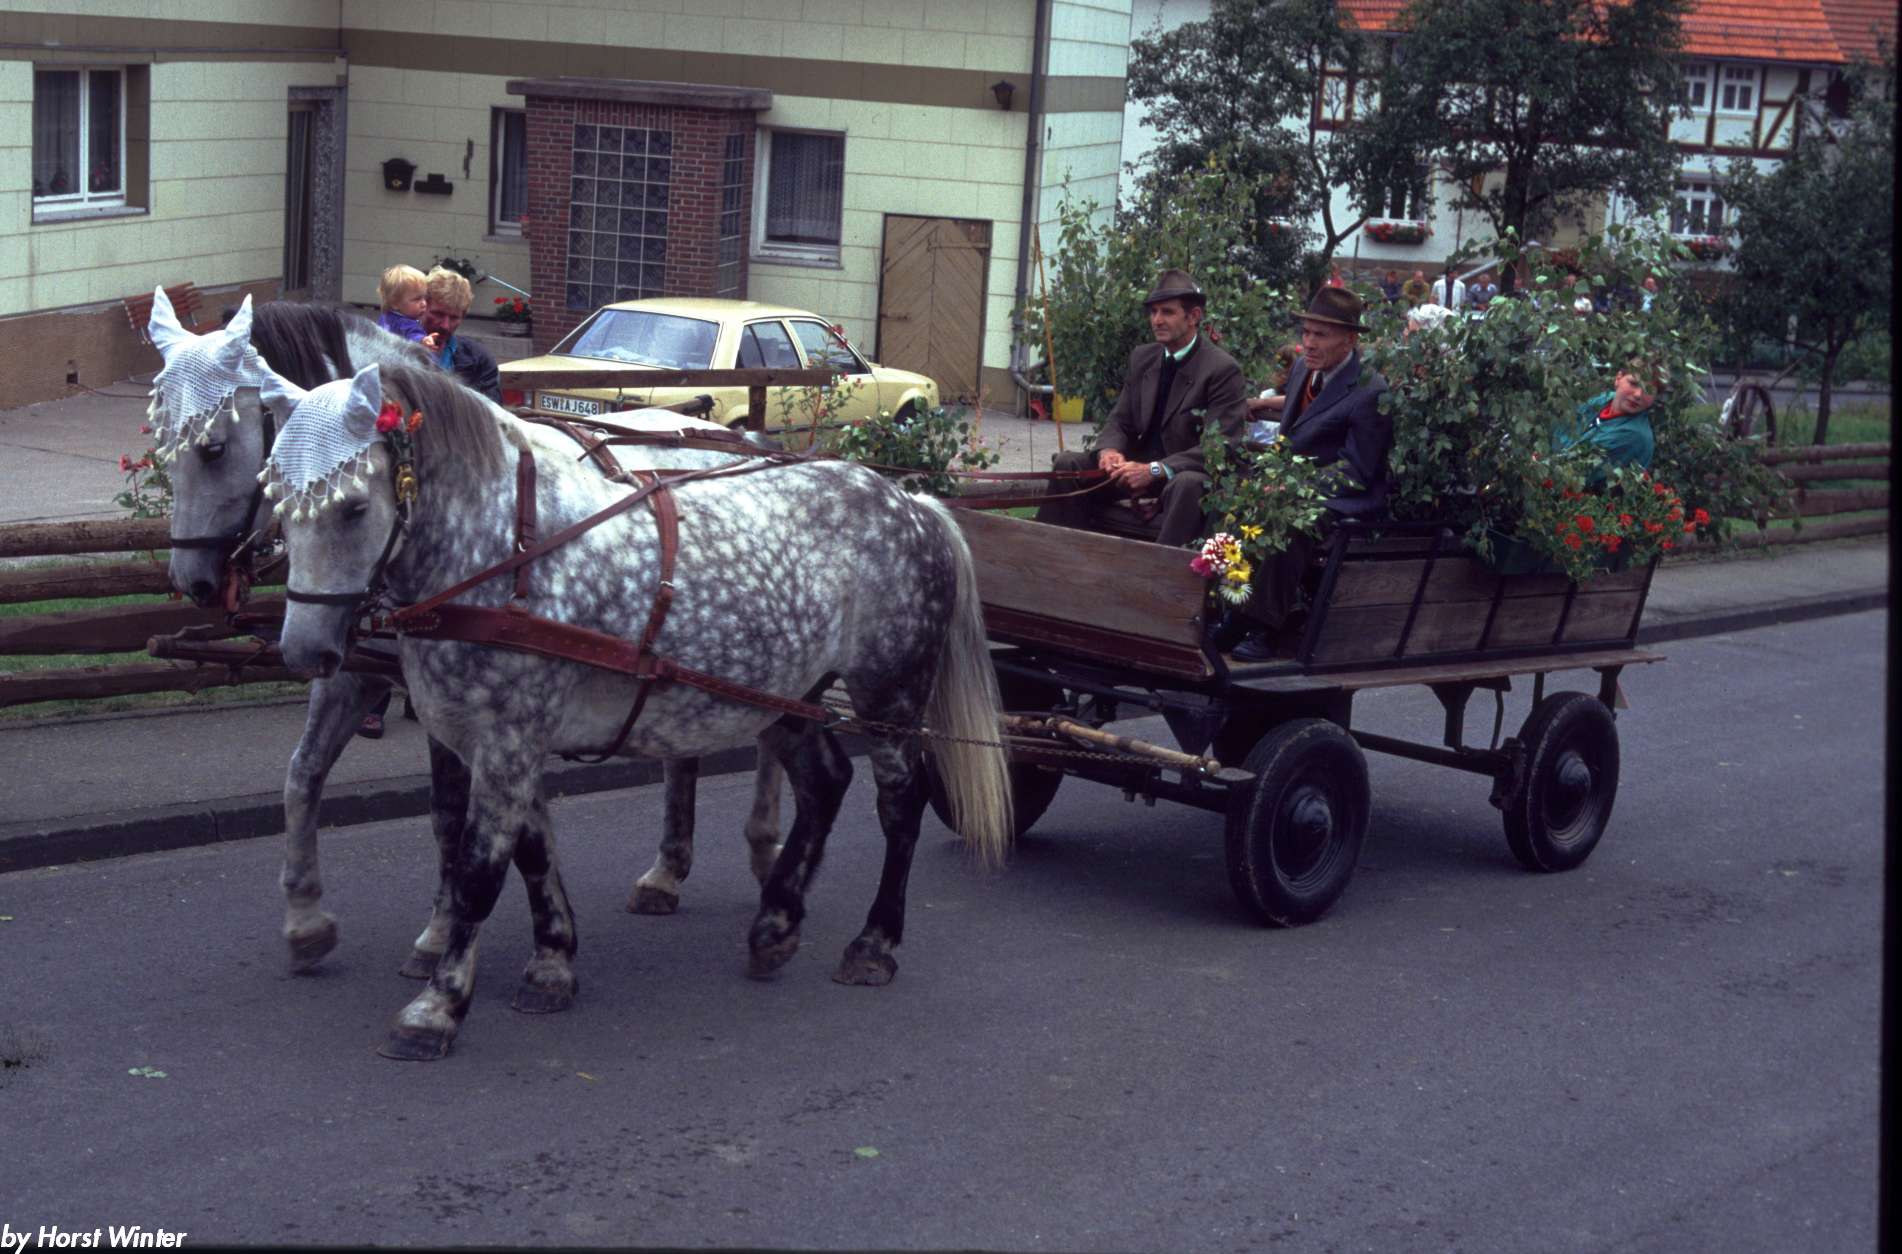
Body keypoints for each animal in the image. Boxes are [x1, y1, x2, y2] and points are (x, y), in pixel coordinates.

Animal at [143, 291, 783, 984]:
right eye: (162, 445)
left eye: (213, 448)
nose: (193, 579)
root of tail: (739, 438)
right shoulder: (357, 671)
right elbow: (302, 776)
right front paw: (306, 921)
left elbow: (449, 814)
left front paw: (441, 933)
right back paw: (668, 871)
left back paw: (764, 851)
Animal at [260, 359, 1011, 1060]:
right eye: (279, 507)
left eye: (354, 508)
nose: (304, 651)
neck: (509, 553)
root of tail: (913, 501)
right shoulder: (500, 739)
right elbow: (532, 853)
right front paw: (551, 965)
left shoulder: (507, 741)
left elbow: (478, 871)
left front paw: (437, 1008)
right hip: (790, 693)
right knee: (826, 782)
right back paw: (776, 923)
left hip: (891, 696)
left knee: (900, 807)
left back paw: (874, 942)